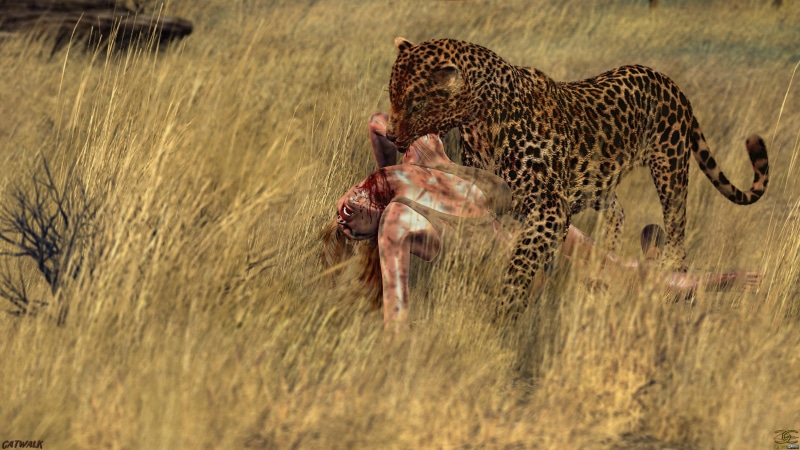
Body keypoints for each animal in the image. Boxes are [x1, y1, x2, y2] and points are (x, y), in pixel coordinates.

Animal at [386, 37, 769, 317]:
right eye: (392, 95)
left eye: (415, 103)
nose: (390, 135)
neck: (480, 121)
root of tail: (668, 81)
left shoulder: (550, 208)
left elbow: (522, 257)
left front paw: (508, 306)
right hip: (599, 183)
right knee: (618, 212)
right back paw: (609, 256)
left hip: (670, 167)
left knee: (676, 233)